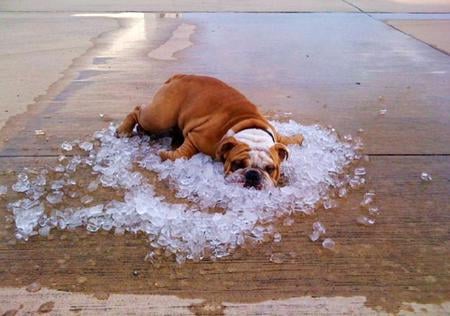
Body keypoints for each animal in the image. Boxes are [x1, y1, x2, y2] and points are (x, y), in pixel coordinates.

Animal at [118, 74, 304, 188]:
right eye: (237, 164)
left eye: (270, 169)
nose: (252, 175)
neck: (251, 131)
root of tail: (180, 76)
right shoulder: (197, 137)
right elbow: (185, 152)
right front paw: (167, 155)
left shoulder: (274, 133)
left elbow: (283, 139)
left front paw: (297, 138)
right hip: (161, 116)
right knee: (137, 110)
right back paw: (124, 130)